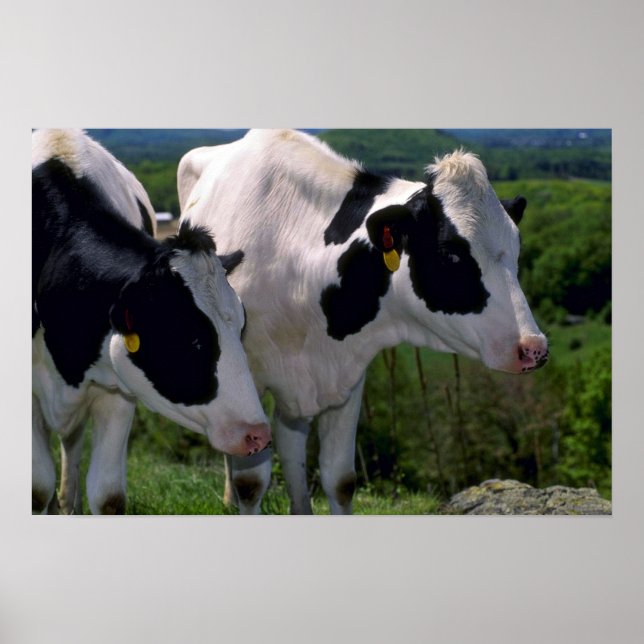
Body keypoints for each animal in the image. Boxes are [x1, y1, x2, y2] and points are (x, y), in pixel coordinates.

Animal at [32, 129, 270, 515]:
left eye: (241, 327)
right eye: (191, 338)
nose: (258, 434)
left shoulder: (116, 387)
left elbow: (108, 497)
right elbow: (38, 488)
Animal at [177, 129, 548, 515]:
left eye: (517, 249)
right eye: (451, 254)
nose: (533, 348)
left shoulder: (348, 377)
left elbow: (340, 481)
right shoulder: (247, 379)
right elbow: (250, 483)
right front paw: (240, 492)